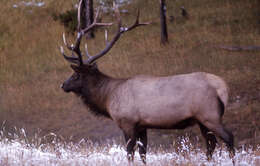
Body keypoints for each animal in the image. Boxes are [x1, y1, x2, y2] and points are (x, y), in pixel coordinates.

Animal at [59, 1, 236, 165]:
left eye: (75, 75)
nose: (63, 85)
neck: (108, 97)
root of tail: (223, 87)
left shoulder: (127, 122)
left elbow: (130, 152)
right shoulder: (142, 125)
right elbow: (143, 153)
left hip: (209, 114)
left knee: (228, 137)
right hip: (202, 120)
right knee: (211, 143)